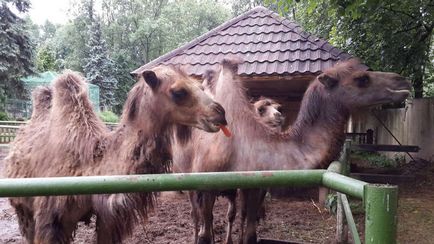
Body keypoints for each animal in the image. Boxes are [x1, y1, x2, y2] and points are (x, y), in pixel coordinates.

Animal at [5, 66, 227, 243]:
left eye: (200, 87)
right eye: (179, 91)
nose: (220, 113)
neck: (90, 166)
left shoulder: (108, 219)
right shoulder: (50, 220)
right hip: (23, 209)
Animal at [173, 57, 410, 244]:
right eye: (362, 79)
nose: (402, 81)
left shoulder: (254, 186)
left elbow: (249, 234)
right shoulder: (207, 184)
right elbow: (205, 234)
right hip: (187, 177)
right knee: (196, 217)